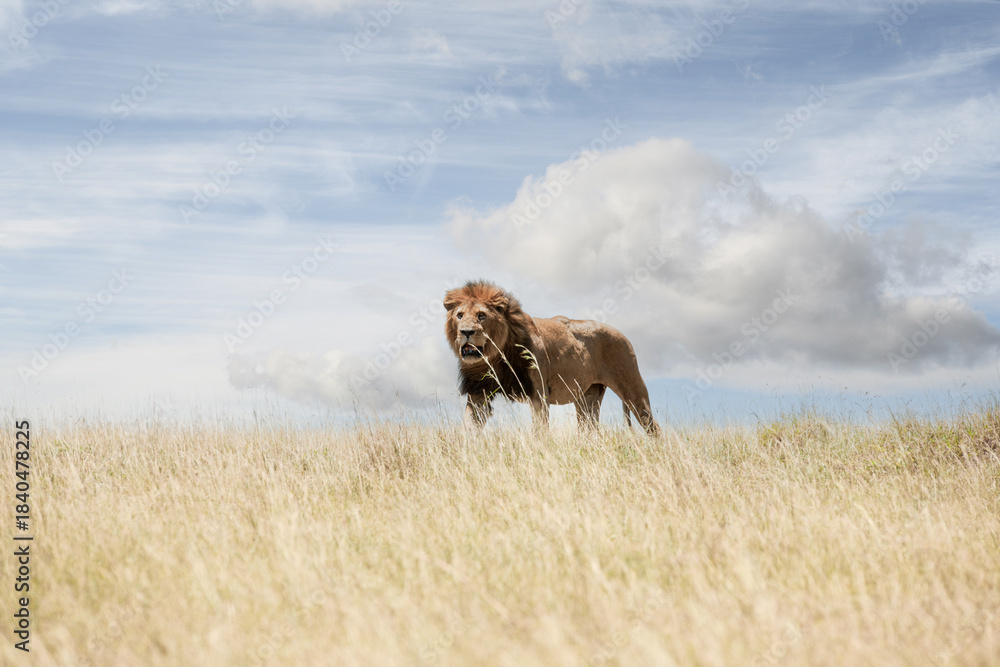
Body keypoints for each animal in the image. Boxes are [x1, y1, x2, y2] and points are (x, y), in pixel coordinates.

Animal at [444, 280, 660, 434]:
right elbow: (469, 427)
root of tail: (621, 333)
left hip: (632, 387)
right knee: (589, 430)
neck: (495, 356)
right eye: (460, 315)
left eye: (481, 315)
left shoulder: (538, 394)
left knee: (652, 425)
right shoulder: (478, 393)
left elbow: (540, 432)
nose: (466, 332)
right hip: (587, 397)